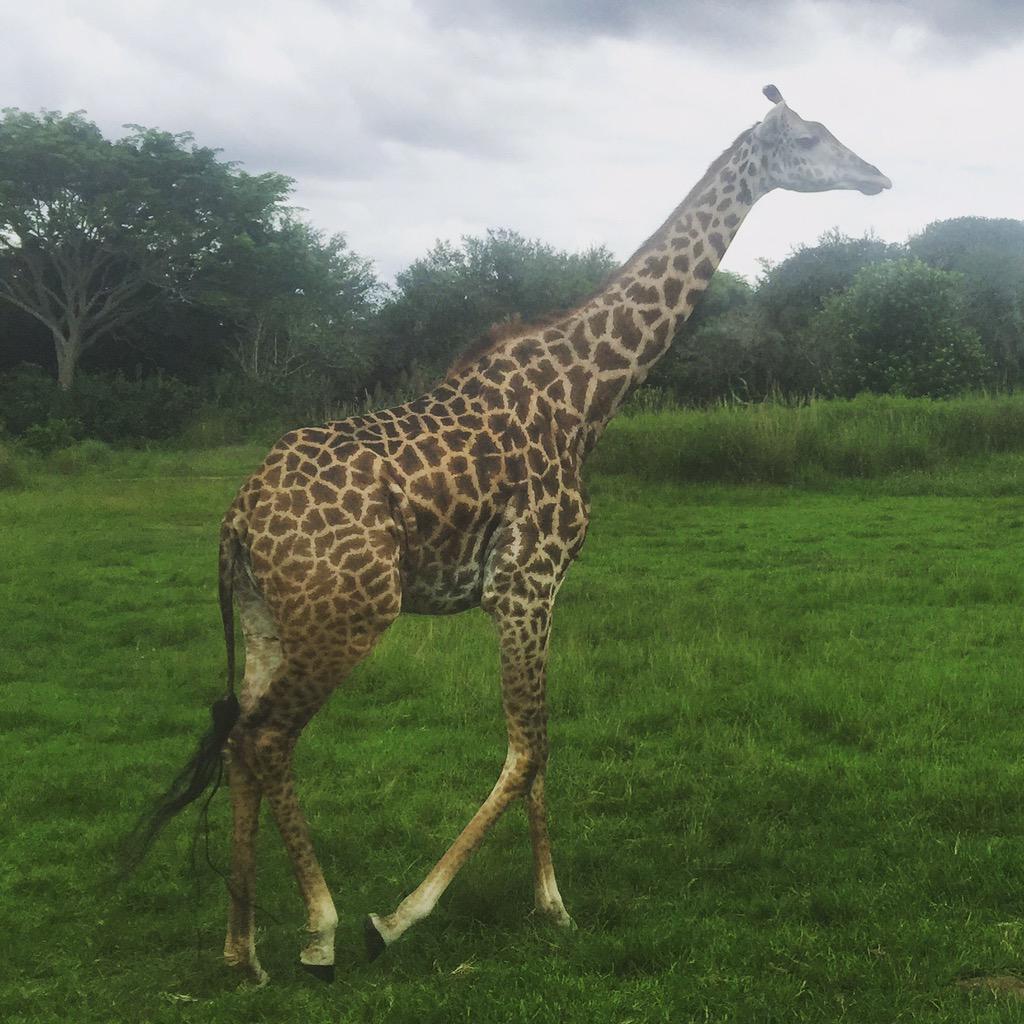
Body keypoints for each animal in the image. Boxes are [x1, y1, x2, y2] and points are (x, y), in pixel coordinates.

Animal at [133, 86, 890, 984]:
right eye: (809, 138)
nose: (877, 174)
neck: (589, 395)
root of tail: (238, 518)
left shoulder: (531, 591)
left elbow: (533, 751)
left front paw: (548, 907)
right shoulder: (527, 583)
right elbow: (530, 748)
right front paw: (406, 917)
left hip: (265, 616)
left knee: (239, 739)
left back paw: (242, 951)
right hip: (347, 615)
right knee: (266, 735)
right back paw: (320, 931)